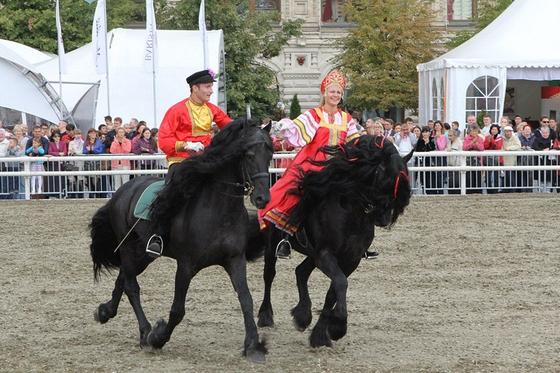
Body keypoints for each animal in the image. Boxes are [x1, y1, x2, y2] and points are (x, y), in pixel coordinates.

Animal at [89, 118, 274, 360]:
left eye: (270, 155)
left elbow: (246, 299)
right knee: (131, 286)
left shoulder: (235, 259)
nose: (263, 198)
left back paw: (105, 311)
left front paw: (252, 344)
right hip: (129, 248)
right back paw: (145, 332)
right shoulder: (186, 265)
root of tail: (123, 190)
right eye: (249, 155)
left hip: (143, 254)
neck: (218, 209)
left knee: (123, 278)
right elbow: (178, 310)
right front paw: (158, 338)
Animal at [252, 135, 414, 348]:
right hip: (273, 244)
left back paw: (302, 315)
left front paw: (321, 333)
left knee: (301, 272)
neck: (351, 212)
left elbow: (334, 290)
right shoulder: (326, 255)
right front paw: (338, 326)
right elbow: (341, 283)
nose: (383, 219)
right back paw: (266, 316)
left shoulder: (350, 260)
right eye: (383, 176)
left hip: (312, 255)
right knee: (269, 274)